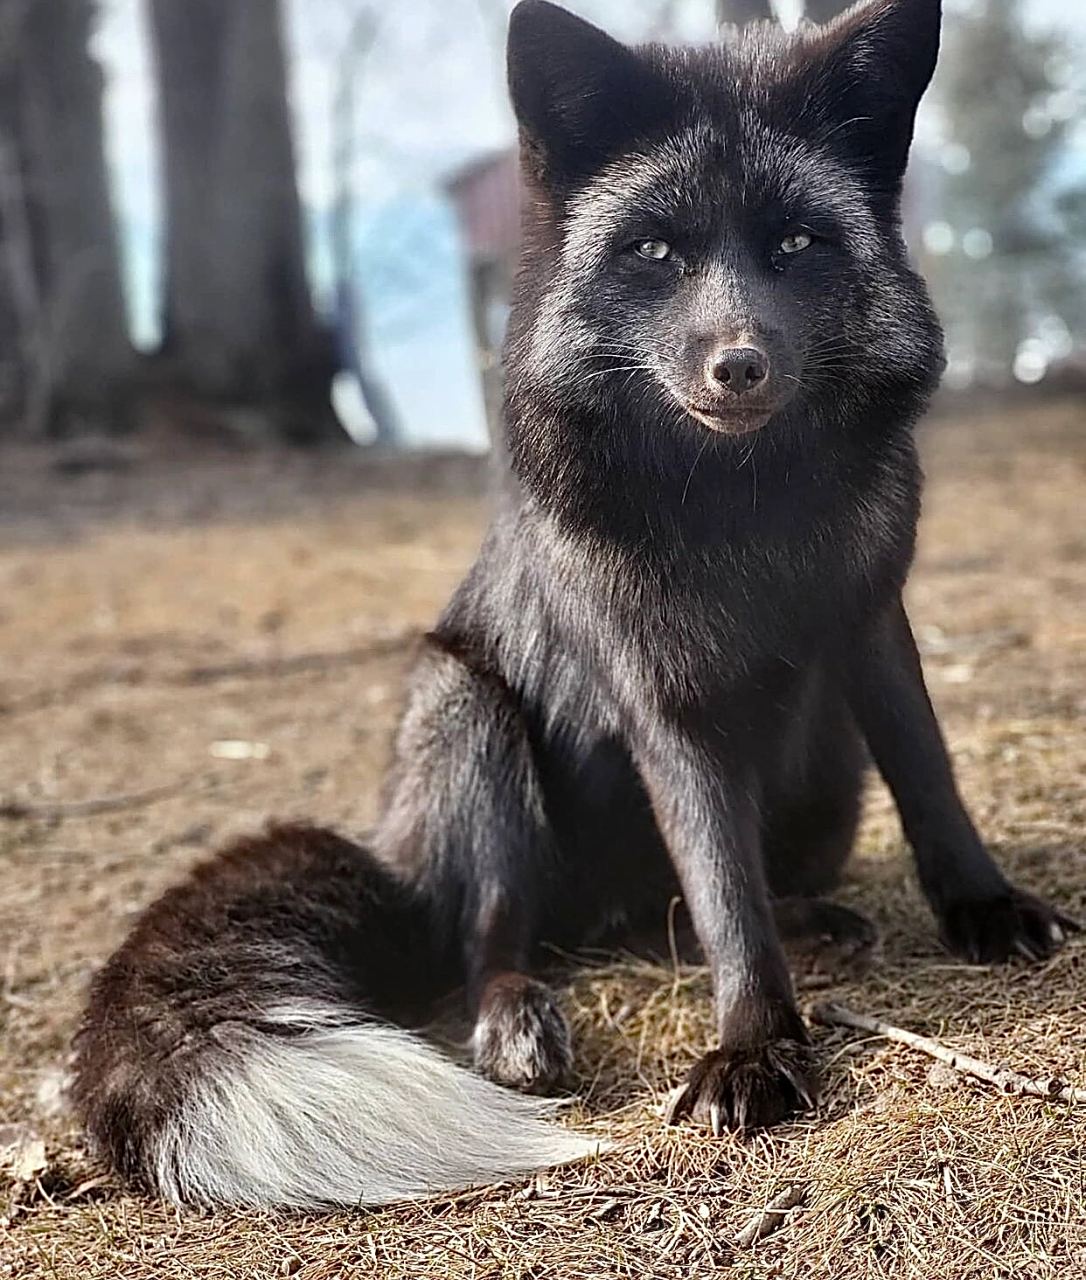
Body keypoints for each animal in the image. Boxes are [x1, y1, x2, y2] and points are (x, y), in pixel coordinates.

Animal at [71, 0, 1077, 1210]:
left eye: (795, 245)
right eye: (655, 251)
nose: (739, 364)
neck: (745, 513)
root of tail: (394, 863)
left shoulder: (872, 620)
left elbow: (929, 783)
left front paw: (983, 907)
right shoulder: (657, 689)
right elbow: (721, 879)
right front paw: (753, 1044)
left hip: (825, 772)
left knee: (674, 916)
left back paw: (807, 924)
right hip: (471, 721)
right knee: (497, 939)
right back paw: (517, 1015)